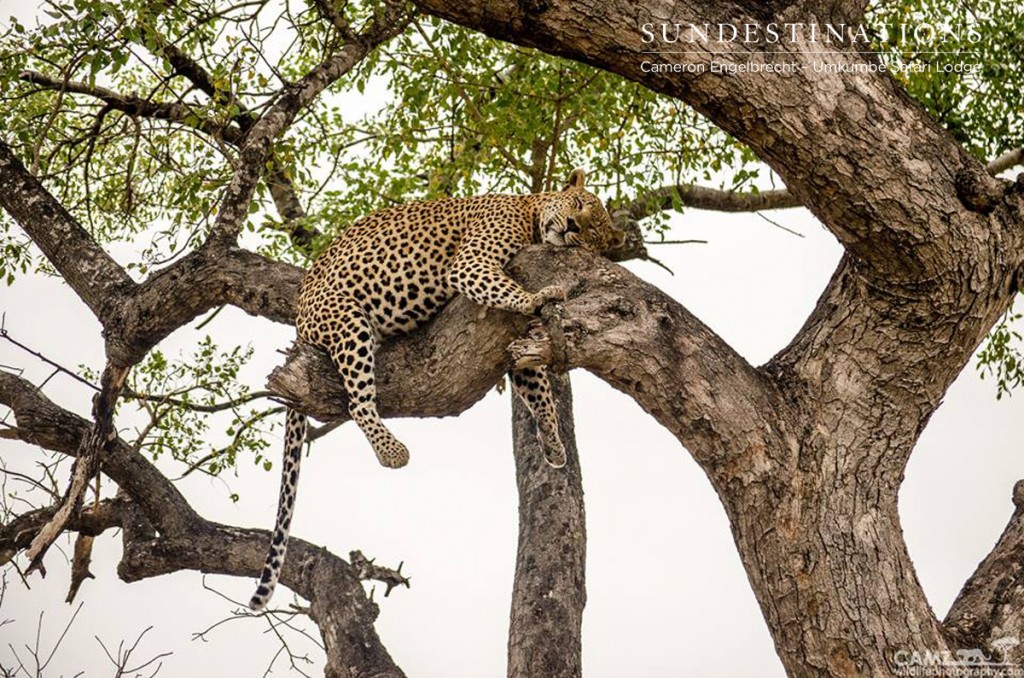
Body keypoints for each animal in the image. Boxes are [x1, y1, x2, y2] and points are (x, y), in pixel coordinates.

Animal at [251, 168, 626, 610]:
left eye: (593, 231)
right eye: (579, 205)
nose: (570, 227)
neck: (530, 212)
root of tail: (298, 321)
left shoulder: (511, 344)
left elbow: (536, 388)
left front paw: (552, 442)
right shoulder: (471, 262)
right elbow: (510, 292)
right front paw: (538, 296)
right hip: (347, 319)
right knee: (358, 400)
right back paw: (392, 451)